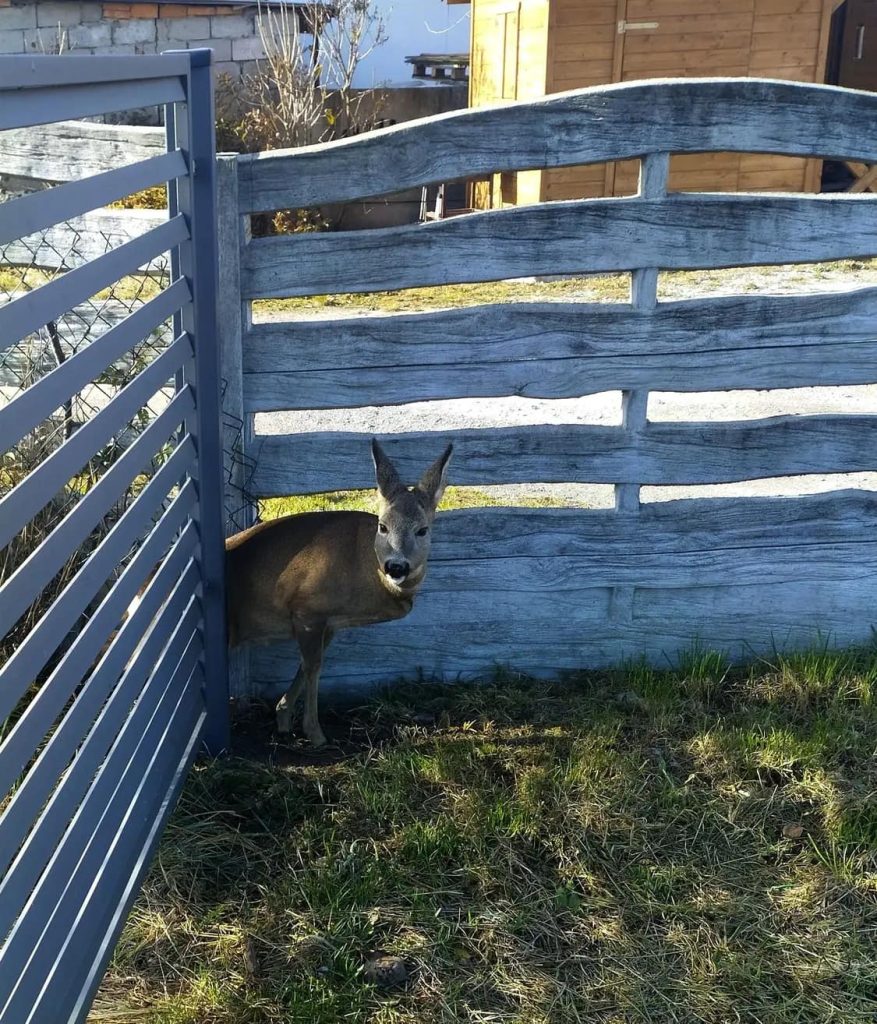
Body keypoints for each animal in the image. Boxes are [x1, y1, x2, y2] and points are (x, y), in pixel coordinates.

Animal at [224, 438, 452, 745]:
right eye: (383, 526)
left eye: (423, 530)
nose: (396, 566)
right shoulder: (307, 609)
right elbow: (313, 667)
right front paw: (315, 733)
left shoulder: (329, 622)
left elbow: (306, 664)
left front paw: (283, 718)